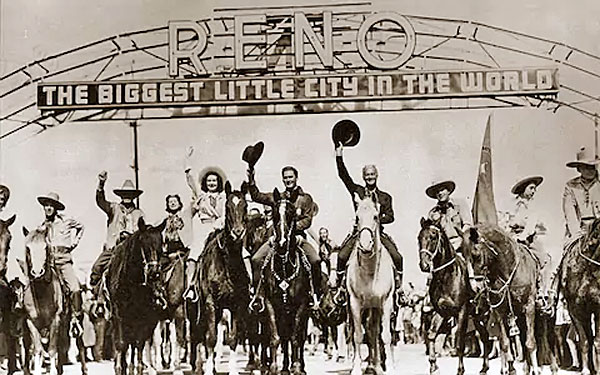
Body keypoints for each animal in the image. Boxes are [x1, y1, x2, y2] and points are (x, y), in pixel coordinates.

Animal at [106, 217, 165, 375]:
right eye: (144, 245)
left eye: (161, 247)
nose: (154, 274)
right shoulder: (119, 315)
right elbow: (121, 344)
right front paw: (119, 368)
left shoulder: (143, 318)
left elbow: (139, 345)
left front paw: (138, 368)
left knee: (134, 345)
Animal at [191, 182, 250, 375]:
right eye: (228, 207)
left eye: (245, 206)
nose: (238, 232)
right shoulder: (210, 303)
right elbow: (210, 338)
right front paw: (208, 369)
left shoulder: (236, 305)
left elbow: (232, 338)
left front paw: (232, 370)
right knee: (197, 337)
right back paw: (198, 366)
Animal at [344, 192, 396, 375]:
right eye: (357, 217)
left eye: (375, 216)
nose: (365, 245)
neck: (370, 271)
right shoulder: (354, 303)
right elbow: (358, 336)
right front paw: (356, 368)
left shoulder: (386, 302)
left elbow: (385, 336)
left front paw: (389, 367)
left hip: (375, 308)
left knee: (374, 332)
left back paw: (376, 366)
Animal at [418, 217, 492, 375]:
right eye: (419, 238)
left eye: (433, 237)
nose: (424, 265)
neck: (446, 277)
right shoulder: (441, 312)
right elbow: (431, 335)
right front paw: (433, 366)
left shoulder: (462, 312)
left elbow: (459, 342)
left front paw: (460, 369)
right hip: (476, 318)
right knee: (484, 336)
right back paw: (484, 368)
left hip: (483, 315)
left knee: (485, 337)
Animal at [464, 225, 544, 375]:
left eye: (476, 254)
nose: (475, 287)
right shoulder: (500, 311)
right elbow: (505, 343)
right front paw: (510, 369)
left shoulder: (529, 307)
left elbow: (530, 343)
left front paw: (536, 370)